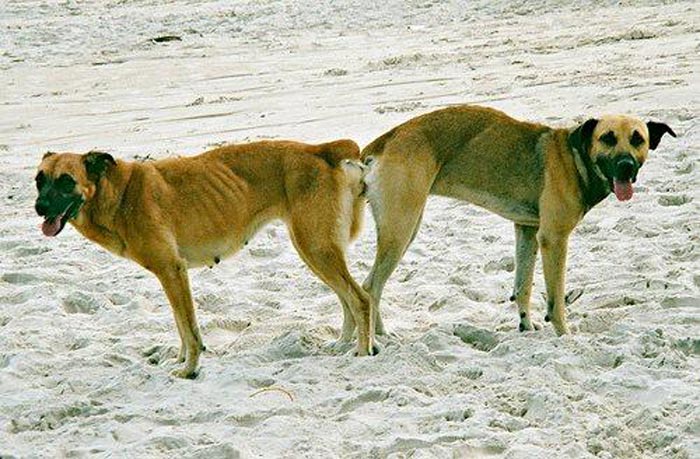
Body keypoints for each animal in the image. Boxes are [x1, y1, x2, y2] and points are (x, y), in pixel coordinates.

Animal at [34, 140, 372, 378]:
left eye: (66, 181)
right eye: (39, 180)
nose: (38, 207)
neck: (120, 193)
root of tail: (321, 150)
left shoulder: (172, 271)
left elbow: (190, 329)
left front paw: (190, 369)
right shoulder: (171, 275)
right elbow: (181, 325)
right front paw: (182, 359)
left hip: (315, 248)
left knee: (360, 299)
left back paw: (362, 352)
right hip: (317, 250)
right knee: (346, 298)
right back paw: (343, 344)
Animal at [358, 106, 676, 338]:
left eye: (638, 139)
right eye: (607, 138)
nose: (626, 166)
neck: (576, 157)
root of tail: (385, 140)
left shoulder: (527, 231)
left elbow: (523, 287)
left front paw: (526, 326)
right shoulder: (553, 239)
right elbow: (555, 299)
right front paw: (564, 335)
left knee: (371, 287)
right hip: (401, 229)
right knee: (371, 287)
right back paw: (377, 337)